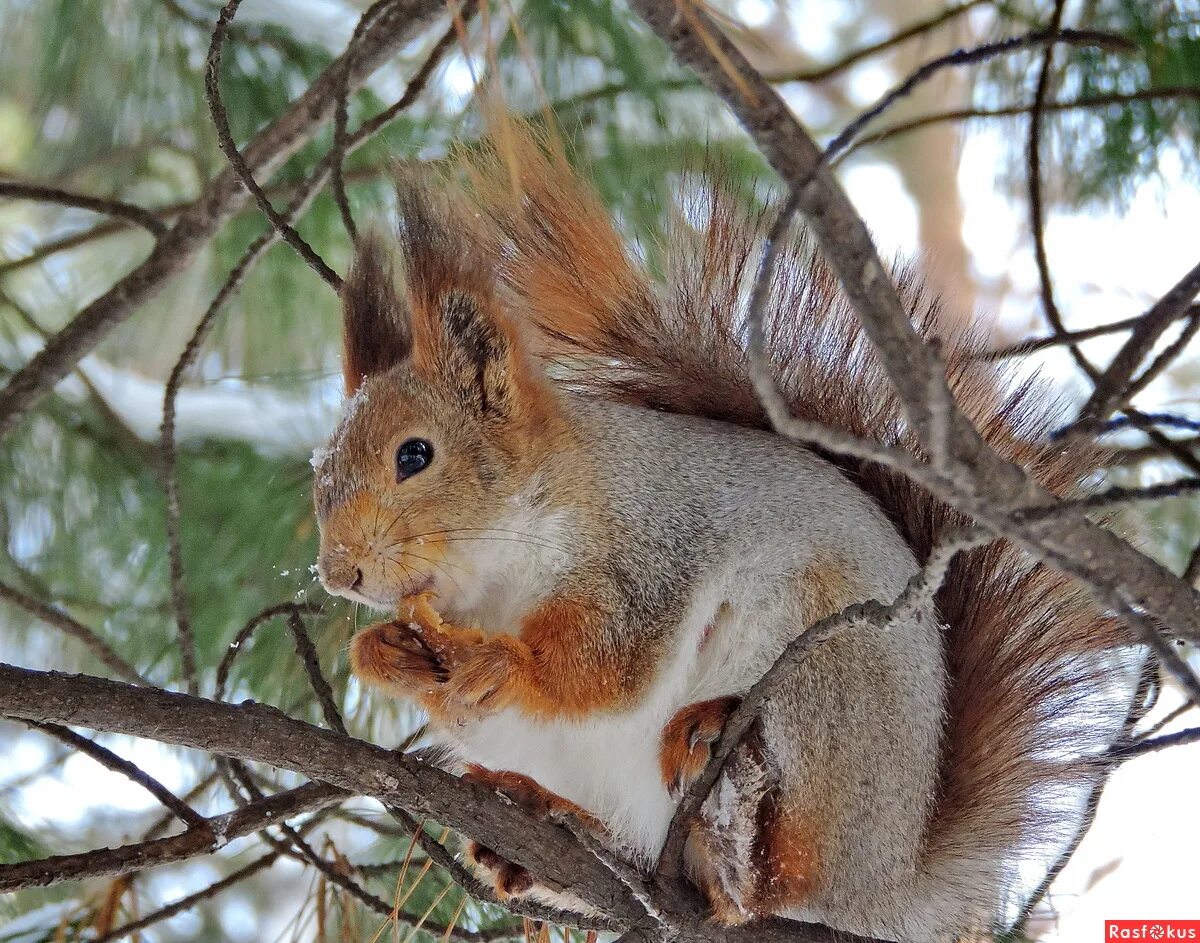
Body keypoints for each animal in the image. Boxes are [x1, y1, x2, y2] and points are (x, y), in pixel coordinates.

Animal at [309, 126, 1132, 940]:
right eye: (320, 470)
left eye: (415, 455)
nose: (338, 574)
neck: (497, 580)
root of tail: (888, 887)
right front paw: (382, 652)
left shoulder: (650, 552)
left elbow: (607, 665)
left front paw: (500, 663)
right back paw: (534, 837)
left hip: (826, 679)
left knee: (774, 879)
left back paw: (728, 808)